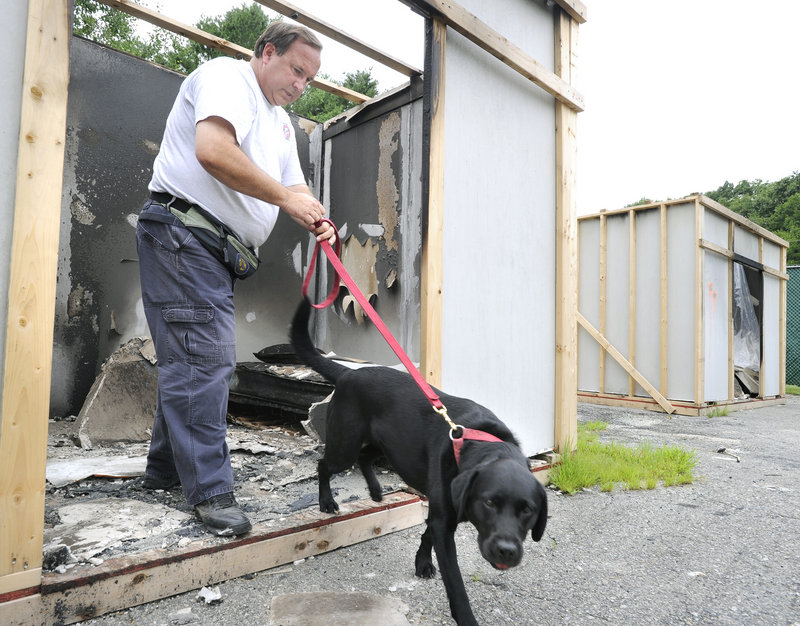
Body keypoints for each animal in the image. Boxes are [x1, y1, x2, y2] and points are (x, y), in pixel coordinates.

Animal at [290, 298, 548, 624]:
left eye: (528, 510)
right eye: (489, 502)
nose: (507, 551)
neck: (478, 445)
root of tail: (349, 373)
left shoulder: (442, 510)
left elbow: (427, 532)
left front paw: (422, 562)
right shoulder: (443, 518)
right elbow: (455, 582)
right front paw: (465, 616)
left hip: (388, 444)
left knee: (364, 457)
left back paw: (376, 491)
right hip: (345, 445)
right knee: (325, 465)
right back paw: (327, 502)